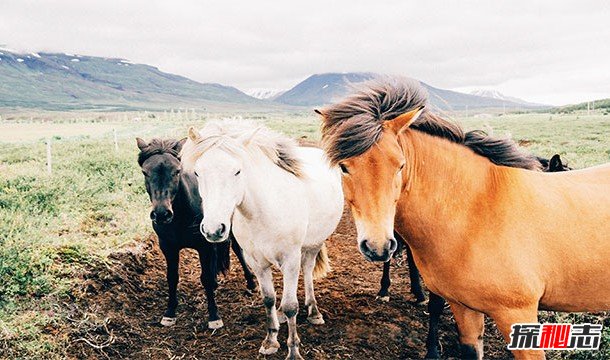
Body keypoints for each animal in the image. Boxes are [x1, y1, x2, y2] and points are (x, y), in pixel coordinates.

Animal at [134, 138, 255, 330]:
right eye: (145, 172)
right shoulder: (168, 247)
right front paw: (170, 313)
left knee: (237, 249)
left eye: (177, 171)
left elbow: (205, 278)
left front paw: (214, 316)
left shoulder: (204, 245)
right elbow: (172, 277)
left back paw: (250, 282)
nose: (161, 214)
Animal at [179, 121, 342, 360]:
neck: (263, 211)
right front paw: (271, 340)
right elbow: (268, 299)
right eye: (198, 173)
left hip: (313, 245)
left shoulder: (290, 259)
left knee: (308, 270)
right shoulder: (256, 262)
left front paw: (293, 350)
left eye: (237, 171)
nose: (213, 230)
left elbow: (291, 305)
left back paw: (314, 311)